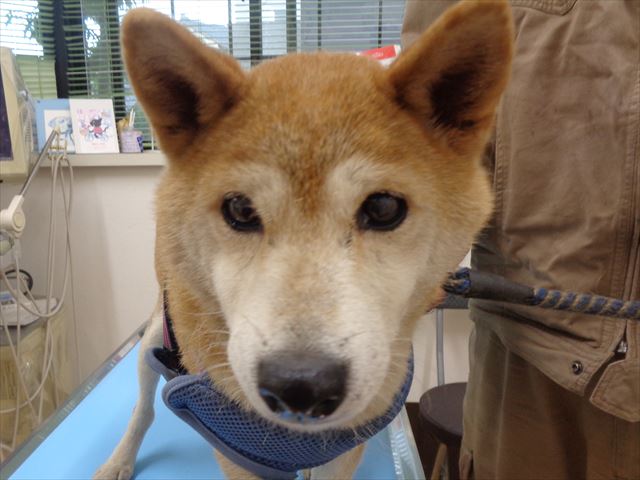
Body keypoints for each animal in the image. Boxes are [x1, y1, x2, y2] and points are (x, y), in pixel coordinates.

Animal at [95, 1, 513, 478]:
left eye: (384, 208)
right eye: (240, 210)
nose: (301, 385)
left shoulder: (345, 446)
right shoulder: (237, 451)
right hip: (152, 339)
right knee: (143, 406)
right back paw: (119, 459)